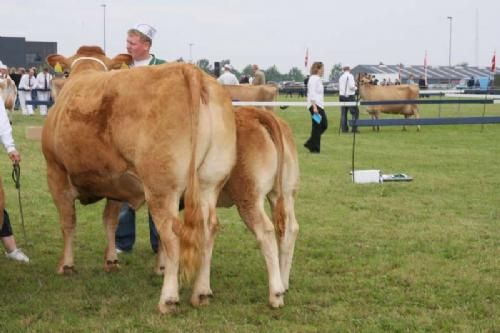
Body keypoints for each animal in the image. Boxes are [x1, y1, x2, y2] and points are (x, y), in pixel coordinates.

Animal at [43, 45, 236, 312]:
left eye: (66, 71)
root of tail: (188, 70)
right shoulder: (114, 181)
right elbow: (110, 221)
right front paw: (111, 260)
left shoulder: (56, 172)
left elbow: (68, 222)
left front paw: (66, 265)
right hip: (210, 183)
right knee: (208, 231)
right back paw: (202, 293)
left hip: (162, 187)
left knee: (172, 234)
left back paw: (168, 299)